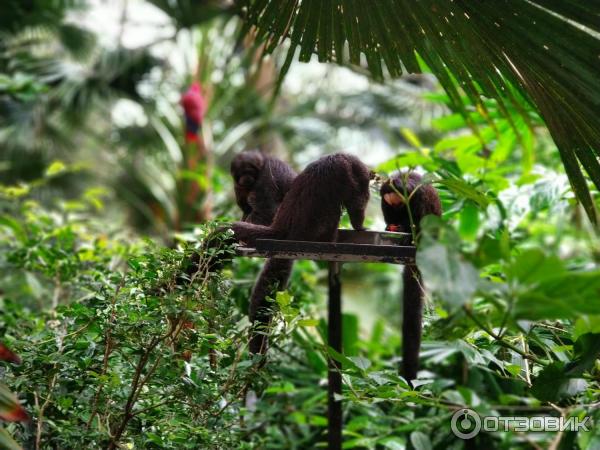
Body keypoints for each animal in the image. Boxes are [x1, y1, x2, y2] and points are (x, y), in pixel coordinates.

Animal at [380, 172, 440, 384]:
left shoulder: (417, 195)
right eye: (395, 204)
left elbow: (420, 215)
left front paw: (406, 228)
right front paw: (391, 227)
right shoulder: (385, 198)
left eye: (400, 202)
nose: (398, 207)